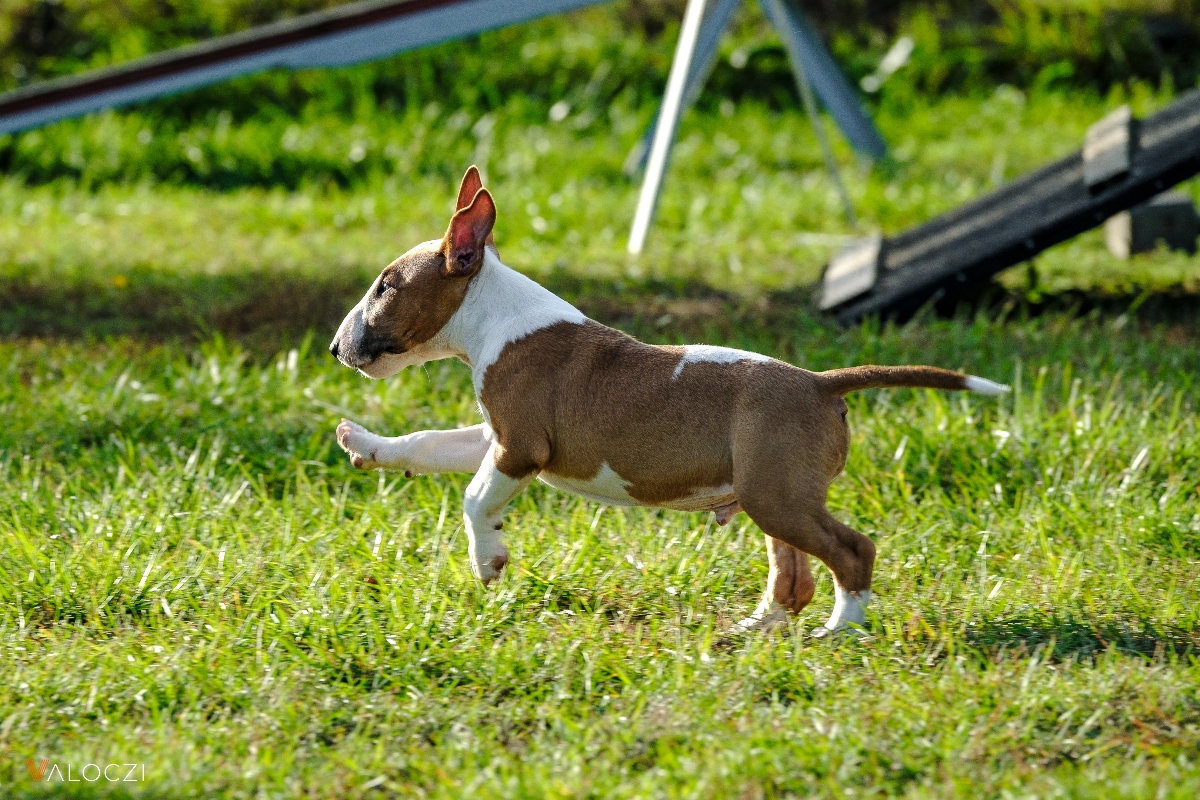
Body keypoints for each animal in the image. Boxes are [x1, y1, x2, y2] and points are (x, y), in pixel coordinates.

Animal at [326, 169, 1003, 638]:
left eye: (386, 286)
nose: (335, 347)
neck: (495, 316)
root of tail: (820, 382)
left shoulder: (520, 445)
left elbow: (474, 498)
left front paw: (488, 560)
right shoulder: (493, 437)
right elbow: (429, 444)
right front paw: (365, 444)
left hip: (776, 494)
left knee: (852, 552)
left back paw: (841, 630)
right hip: (776, 495)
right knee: (794, 577)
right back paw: (753, 631)